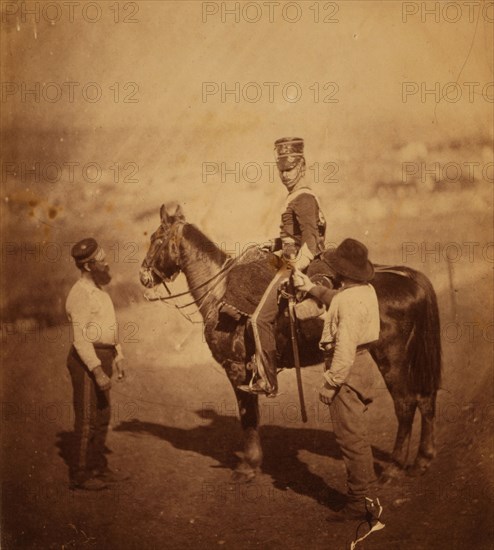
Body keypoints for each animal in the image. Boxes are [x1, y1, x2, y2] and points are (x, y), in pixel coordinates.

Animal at [141, 203, 442, 484]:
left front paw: (247, 467)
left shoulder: (236, 369)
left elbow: (248, 417)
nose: (143, 276)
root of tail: (407, 278)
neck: (219, 294)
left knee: (405, 404)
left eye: (157, 238)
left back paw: (393, 469)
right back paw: (422, 462)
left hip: (392, 358)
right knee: (426, 400)